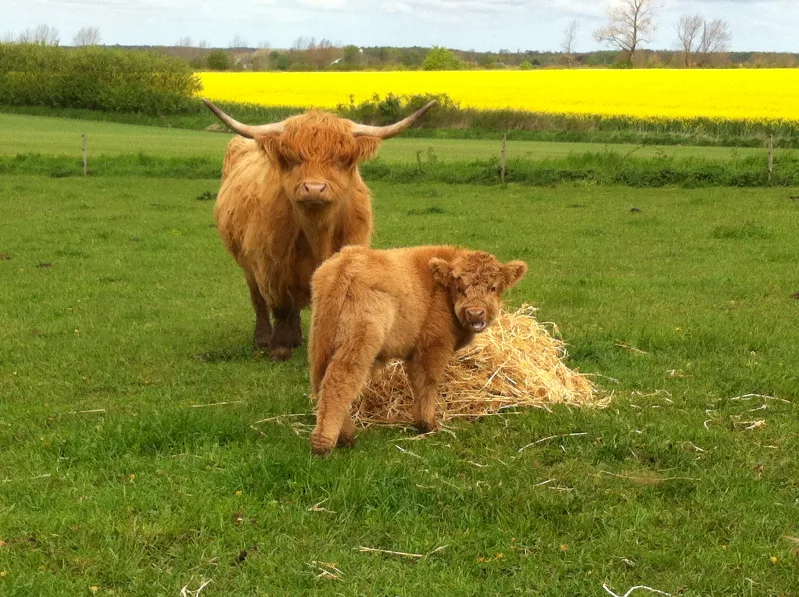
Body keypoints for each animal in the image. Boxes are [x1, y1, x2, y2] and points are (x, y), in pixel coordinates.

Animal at [204, 99, 435, 361]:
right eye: (291, 158)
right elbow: (280, 305)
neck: (317, 234)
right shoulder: (272, 263)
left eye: (341, 159)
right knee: (259, 299)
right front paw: (280, 348)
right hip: (247, 262)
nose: (314, 188)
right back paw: (263, 339)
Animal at [307, 245, 527, 455]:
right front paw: (427, 424)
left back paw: (343, 435)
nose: (475, 313)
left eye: (493, 287)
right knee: (339, 382)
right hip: (358, 342)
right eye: (460, 287)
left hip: (321, 341)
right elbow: (428, 382)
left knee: (320, 381)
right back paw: (324, 443)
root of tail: (348, 261)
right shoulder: (433, 346)